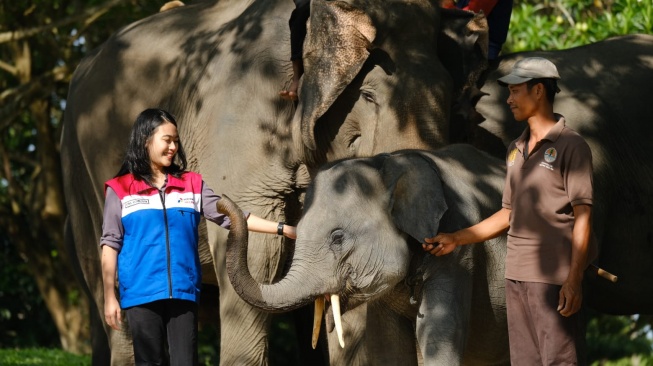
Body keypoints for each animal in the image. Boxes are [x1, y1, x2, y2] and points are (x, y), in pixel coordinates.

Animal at [219, 144, 510, 364]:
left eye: (338, 238)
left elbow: (438, 334)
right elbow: (387, 343)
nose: (222, 202)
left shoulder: (459, 254)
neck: (389, 162)